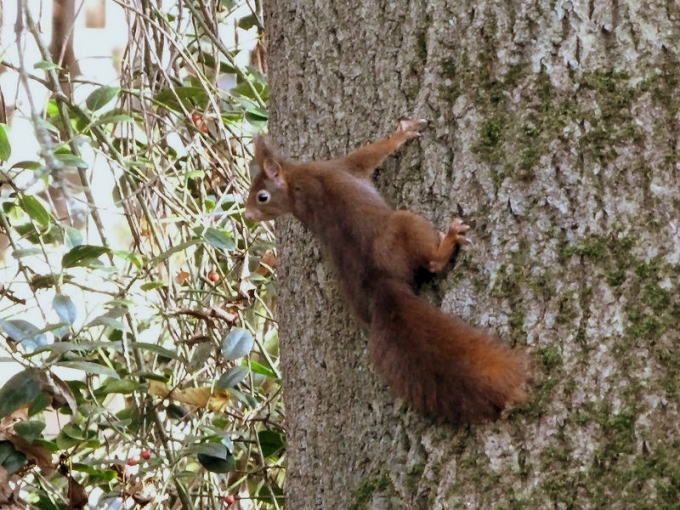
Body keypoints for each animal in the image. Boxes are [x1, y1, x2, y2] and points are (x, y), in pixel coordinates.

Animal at [245, 119, 530, 424]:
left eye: (261, 196)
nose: (248, 215)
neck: (295, 185)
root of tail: (380, 284)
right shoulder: (343, 166)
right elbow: (374, 152)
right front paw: (403, 133)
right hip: (404, 224)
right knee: (431, 263)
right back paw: (450, 240)